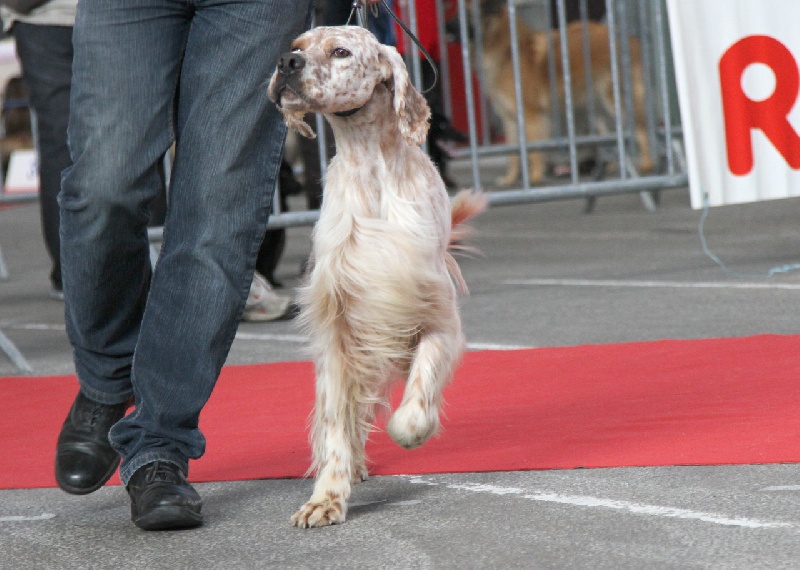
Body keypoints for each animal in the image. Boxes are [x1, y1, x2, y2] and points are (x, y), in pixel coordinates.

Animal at [268, 24, 488, 524]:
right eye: (297, 45)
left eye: (341, 51)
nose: (287, 63)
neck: (370, 168)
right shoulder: (339, 327)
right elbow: (335, 419)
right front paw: (326, 496)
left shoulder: (436, 317)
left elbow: (416, 402)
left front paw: (409, 431)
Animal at [476, 0, 648, 184]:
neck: (508, 50)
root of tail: (630, 39)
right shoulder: (510, 119)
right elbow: (513, 153)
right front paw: (510, 179)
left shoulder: (531, 116)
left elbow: (533, 151)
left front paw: (535, 177)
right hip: (600, 109)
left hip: (614, 101)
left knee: (641, 129)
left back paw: (645, 165)